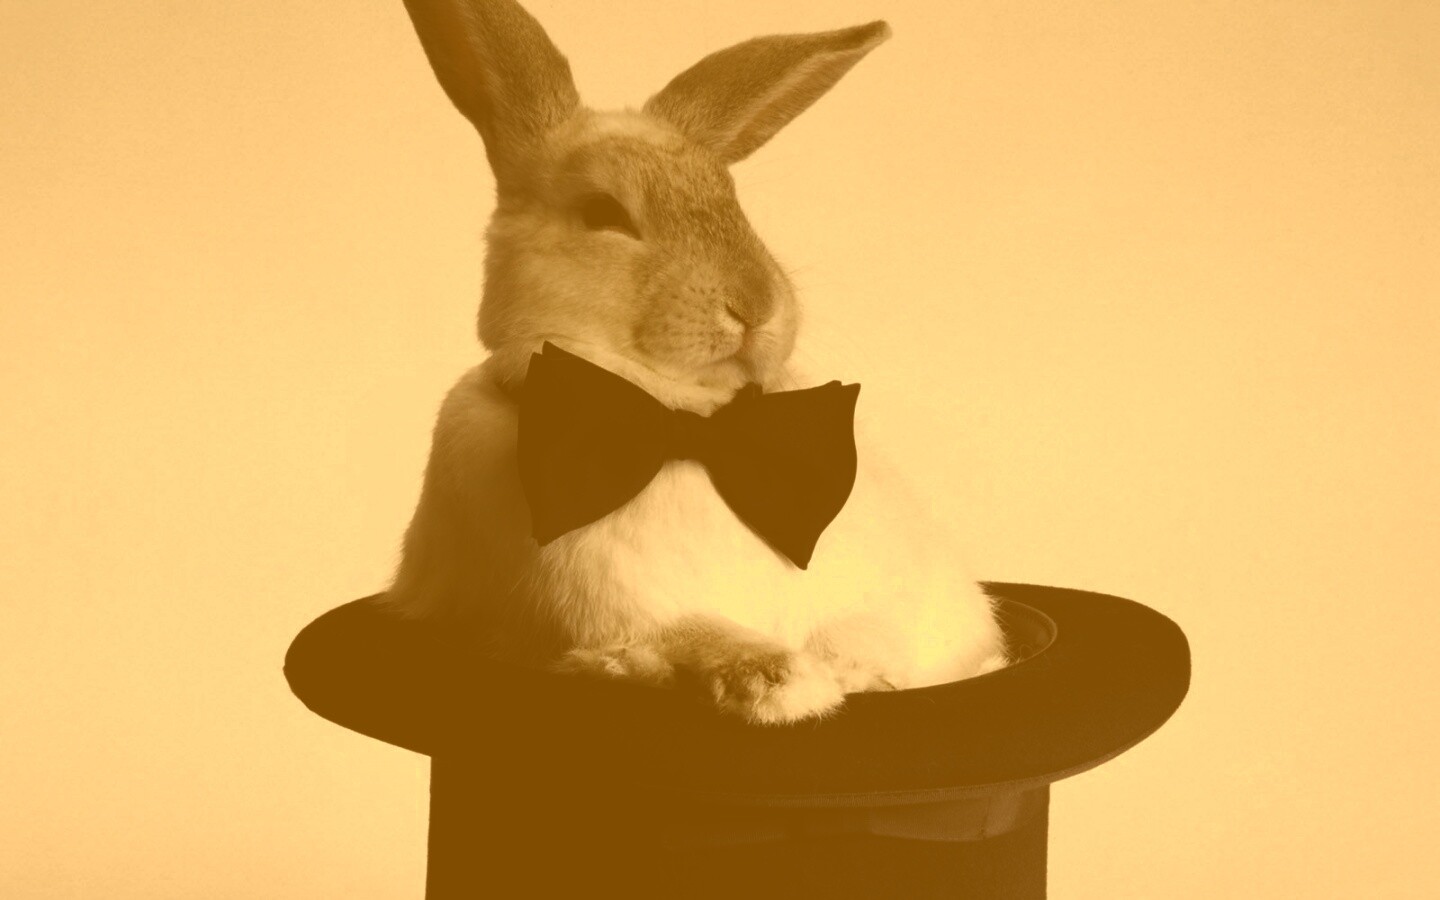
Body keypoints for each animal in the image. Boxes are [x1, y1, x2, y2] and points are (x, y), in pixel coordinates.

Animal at [380, 0, 1008, 725]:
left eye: (734, 202)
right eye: (603, 211)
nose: (756, 305)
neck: (691, 424)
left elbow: (869, 629)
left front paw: (855, 671)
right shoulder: (600, 614)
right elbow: (690, 638)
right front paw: (787, 683)